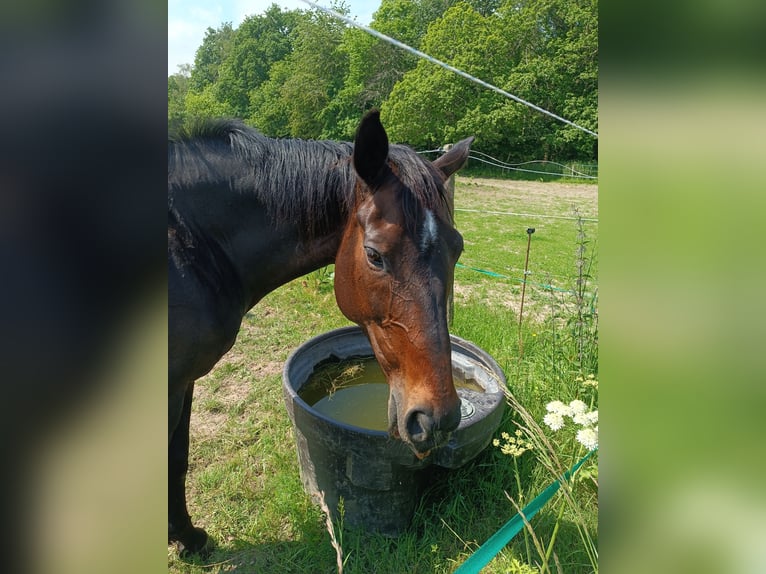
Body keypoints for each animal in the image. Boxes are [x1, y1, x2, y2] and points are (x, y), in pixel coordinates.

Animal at [170, 110, 474, 556]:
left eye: (458, 248)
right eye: (374, 255)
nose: (436, 418)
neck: (190, 244)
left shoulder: (184, 380)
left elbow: (178, 456)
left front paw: (186, 538)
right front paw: (189, 539)